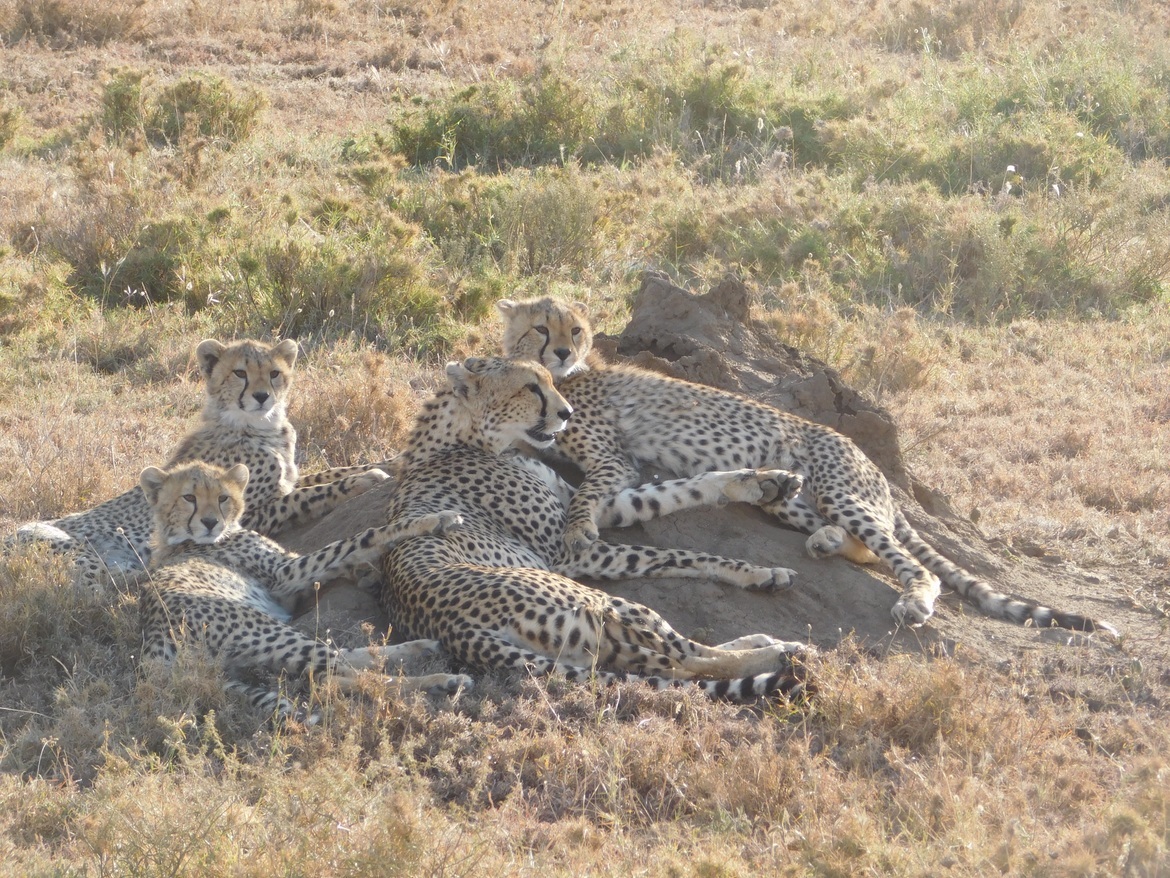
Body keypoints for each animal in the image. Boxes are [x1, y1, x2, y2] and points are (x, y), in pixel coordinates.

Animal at [10, 337, 389, 589]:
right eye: (240, 373)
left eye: (274, 373)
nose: (262, 396)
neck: (262, 426)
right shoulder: (248, 513)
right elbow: (311, 493)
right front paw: (363, 481)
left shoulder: (284, 481)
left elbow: (329, 472)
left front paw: (385, 464)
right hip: (69, 547)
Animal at [138, 459, 472, 719]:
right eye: (189, 497)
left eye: (223, 498)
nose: (210, 523)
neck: (181, 539)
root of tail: (152, 651)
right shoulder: (285, 573)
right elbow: (358, 540)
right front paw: (431, 520)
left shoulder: (285, 591)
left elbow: (342, 559)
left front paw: (366, 574)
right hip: (264, 630)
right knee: (331, 676)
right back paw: (445, 680)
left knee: (336, 666)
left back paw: (423, 649)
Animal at [378, 355, 814, 704]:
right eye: (531, 388)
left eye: (551, 382)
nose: (567, 412)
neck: (462, 439)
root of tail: (455, 629)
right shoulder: (570, 555)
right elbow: (672, 552)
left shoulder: (590, 510)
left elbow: (673, 493)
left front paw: (766, 487)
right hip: (601, 603)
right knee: (686, 657)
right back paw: (782, 651)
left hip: (591, 642)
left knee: (672, 661)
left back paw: (765, 640)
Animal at [498, 296, 1119, 637]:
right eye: (541, 328)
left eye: (575, 330)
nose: (561, 351)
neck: (563, 378)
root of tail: (870, 458)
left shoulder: (613, 458)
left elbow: (588, 493)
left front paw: (578, 529)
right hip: (797, 498)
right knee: (854, 540)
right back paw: (824, 541)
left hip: (844, 492)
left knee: (915, 565)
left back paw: (915, 600)